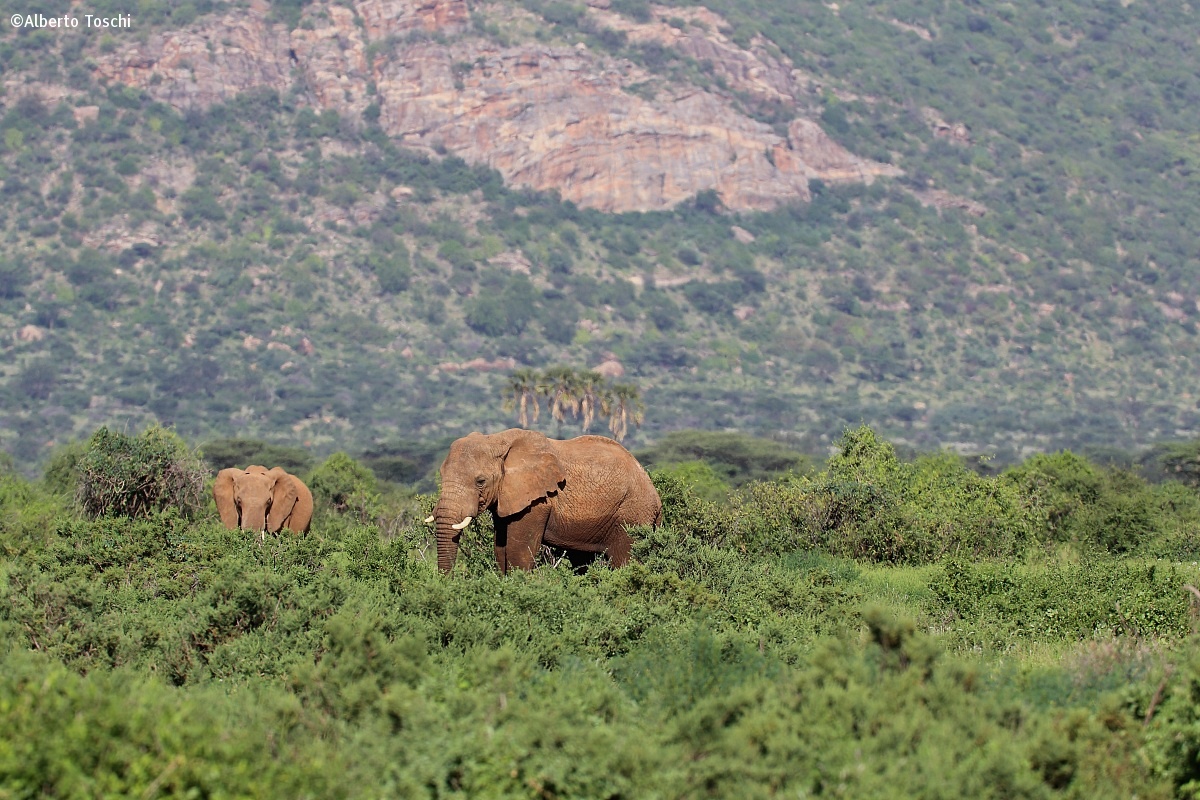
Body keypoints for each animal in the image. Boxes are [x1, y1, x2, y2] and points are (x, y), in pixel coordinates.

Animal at [427, 429, 662, 573]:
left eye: (480, 481)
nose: (446, 582)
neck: (496, 439)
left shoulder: (537, 503)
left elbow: (517, 552)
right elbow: (500, 550)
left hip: (631, 513)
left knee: (625, 561)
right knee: (582, 561)